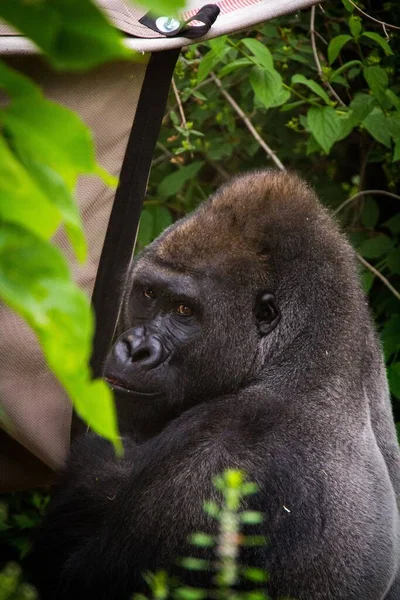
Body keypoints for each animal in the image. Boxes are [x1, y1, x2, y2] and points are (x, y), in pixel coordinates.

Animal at [30, 170, 400, 600]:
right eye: (148, 293)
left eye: (184, 310)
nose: (135, 349)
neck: (305, 351)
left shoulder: (226, 451)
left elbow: (73, 576)